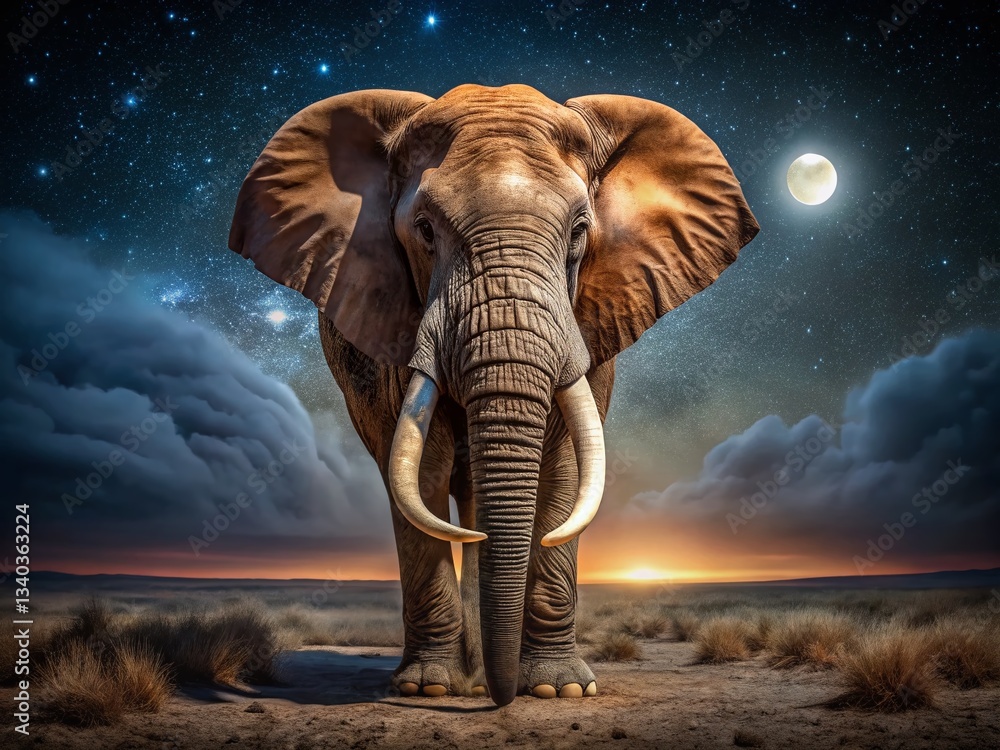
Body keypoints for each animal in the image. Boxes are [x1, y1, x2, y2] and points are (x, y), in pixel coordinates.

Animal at [228, 83, 758, 706]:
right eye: (425, 230)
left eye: (580, 230)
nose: (501, 701)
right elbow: (420, 474)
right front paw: (430, 688)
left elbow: (567, 472)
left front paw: (560, 689)